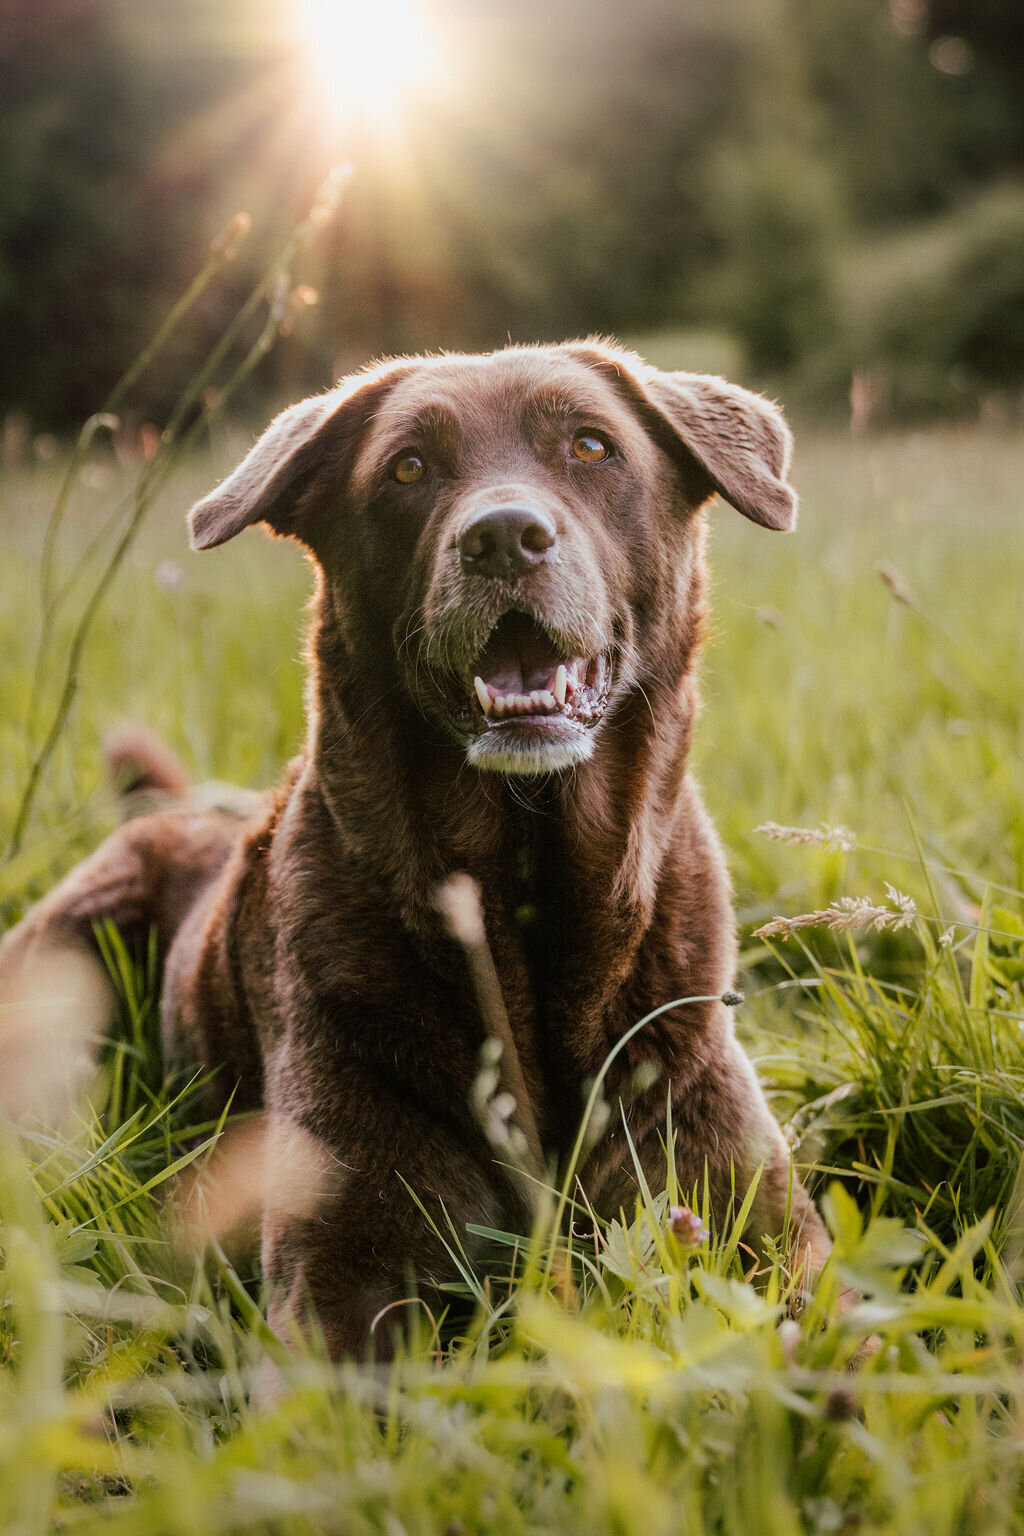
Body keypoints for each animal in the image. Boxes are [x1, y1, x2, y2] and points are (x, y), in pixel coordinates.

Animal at [0, 339, 835, 1357]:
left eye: (591, 446)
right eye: (407, 469)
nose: (503, 536)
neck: (524, 886)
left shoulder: (761, 1225)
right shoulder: (338, 1268)